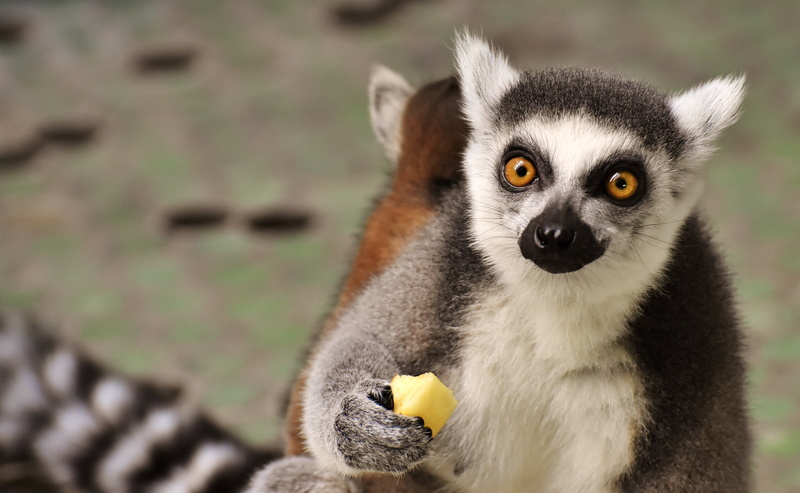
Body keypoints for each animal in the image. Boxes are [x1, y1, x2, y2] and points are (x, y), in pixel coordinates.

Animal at [253, 32, 751, 493]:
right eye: (521, 169)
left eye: (621, 183)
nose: (554, 235)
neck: (555, 300)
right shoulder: (445, 255)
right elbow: (362, 336)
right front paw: (354, 421)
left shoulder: (697, 329)